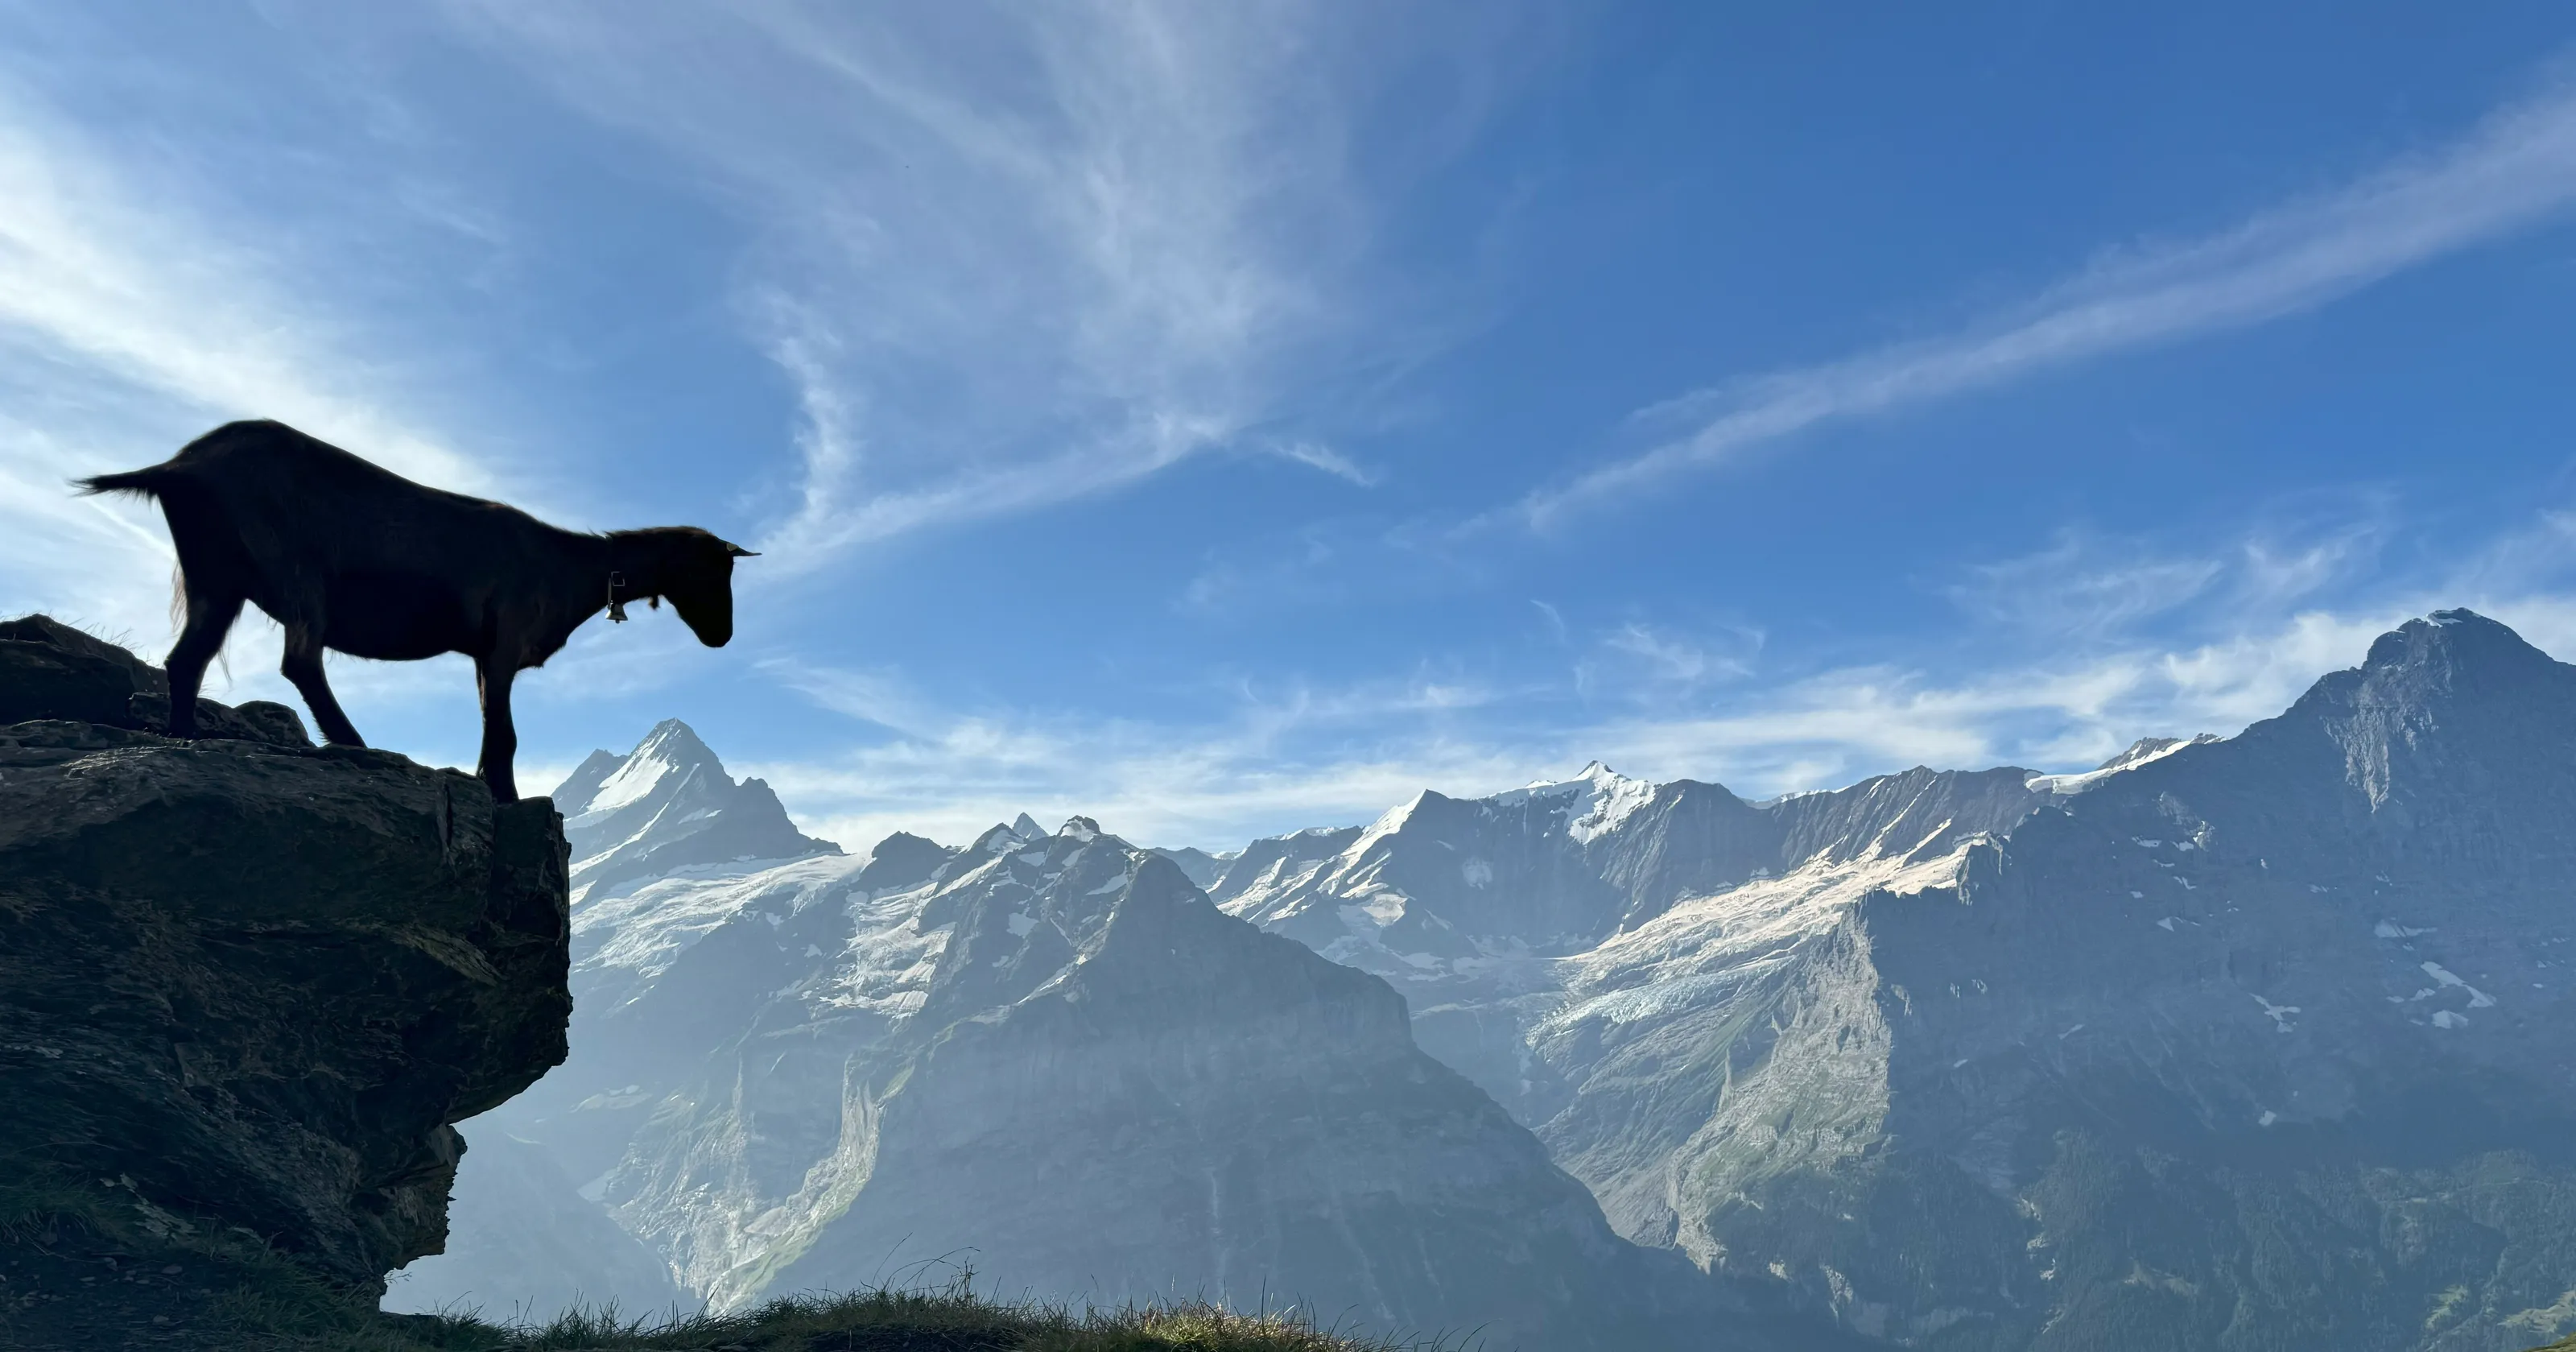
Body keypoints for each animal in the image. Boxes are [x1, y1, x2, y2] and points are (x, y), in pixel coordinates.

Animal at [78, 420, 756, 803]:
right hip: (295, 568)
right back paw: (353, 742)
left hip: (217, 575)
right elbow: (506, 732)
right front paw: (507, 795)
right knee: (300, 660)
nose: (722, 637)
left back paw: (184, 736)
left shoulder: (484, 653)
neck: (570, 567)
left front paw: (490, 783)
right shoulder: (505, 639)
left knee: (187, 657)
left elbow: (491, 726)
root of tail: (178, 467)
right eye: (716, 570)